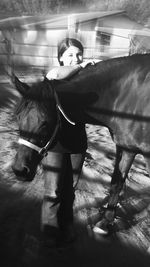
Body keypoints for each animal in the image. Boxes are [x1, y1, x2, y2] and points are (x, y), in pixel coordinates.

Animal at [11, 53, 150, 236]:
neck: (129, 97)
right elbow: (116, 183)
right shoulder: (127, 148)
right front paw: (105, 223)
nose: (19, 170)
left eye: (45, 122)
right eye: (18, 117)